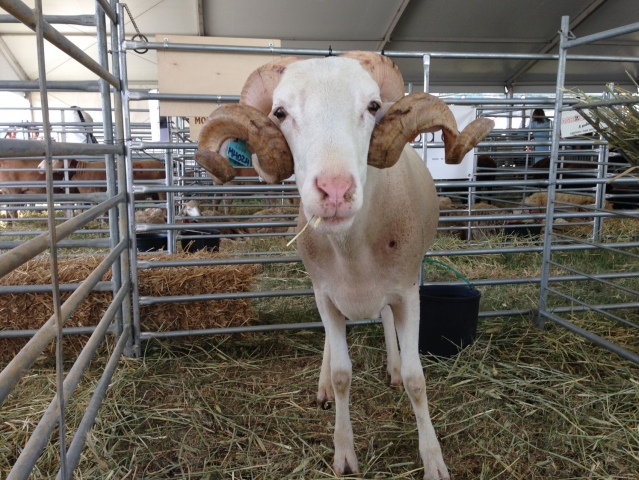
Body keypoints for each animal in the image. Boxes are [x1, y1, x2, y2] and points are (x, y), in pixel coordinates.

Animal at [192, 50, 492, 478]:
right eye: (280, 112)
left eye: (373, 106)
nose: (335, 191)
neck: (352, 249)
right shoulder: (326, 295)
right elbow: (341, 374)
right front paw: (344, 452)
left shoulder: (407, 294)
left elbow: (417, 379)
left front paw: (433, 459)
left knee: (386, 320)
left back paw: (392, 368)